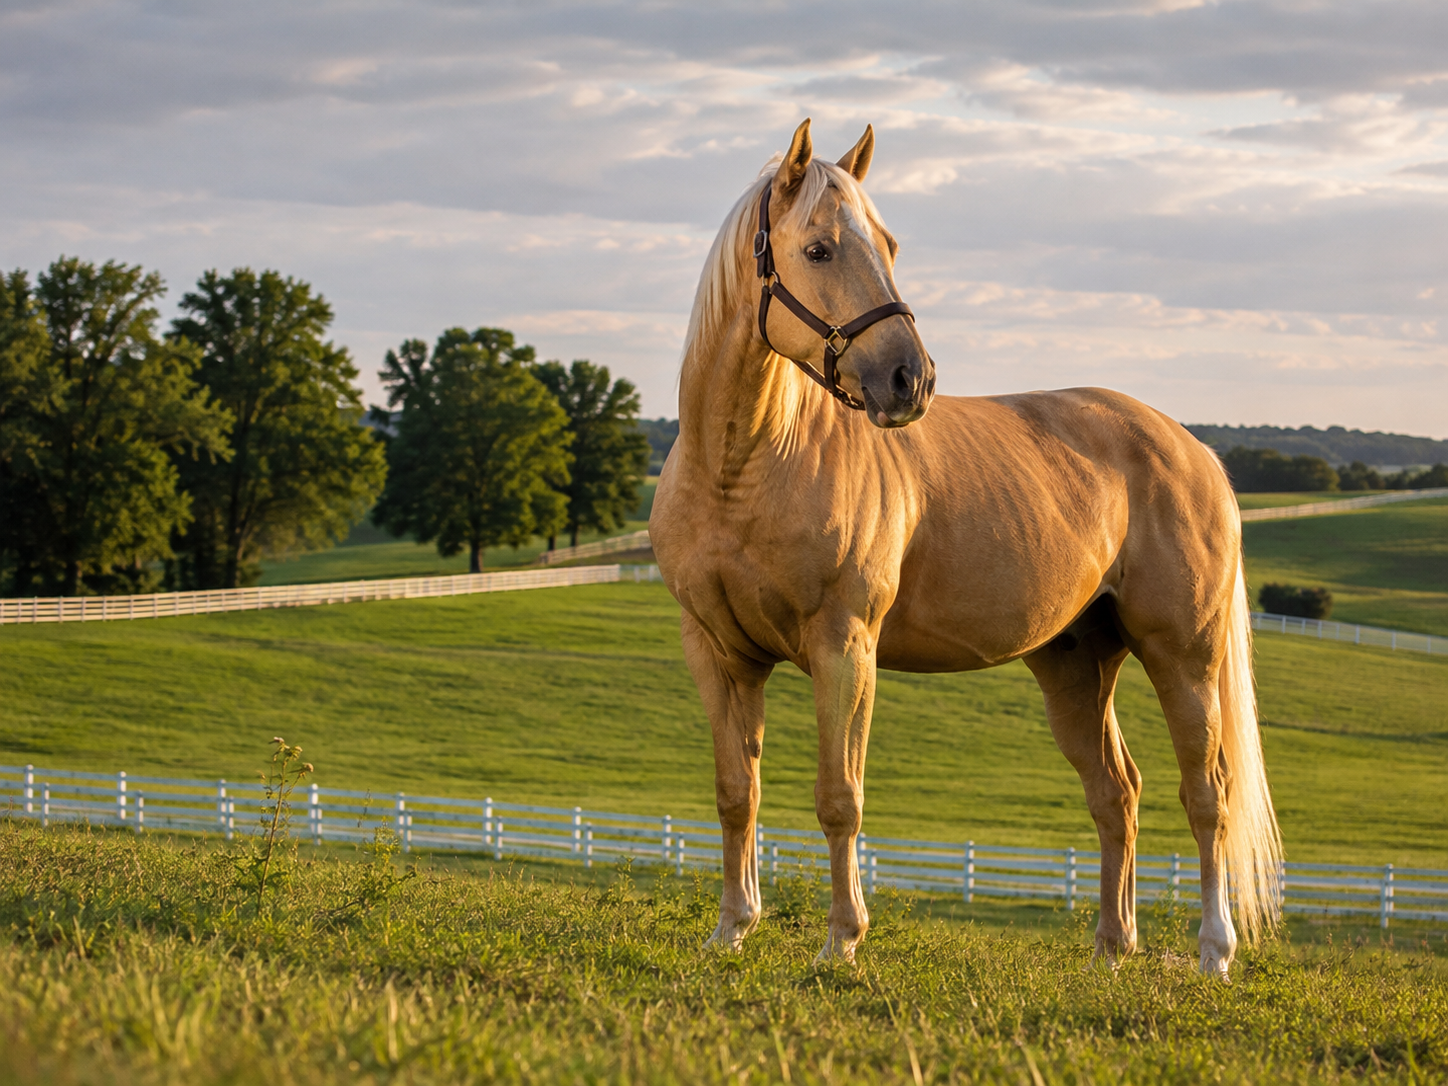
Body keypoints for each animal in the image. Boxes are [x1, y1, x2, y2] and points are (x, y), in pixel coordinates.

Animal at [650, 119, 1282, 977]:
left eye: (887, 244)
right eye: (819, 248)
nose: (908, 379)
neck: (743, 468)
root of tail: (1193, 449)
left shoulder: (844, 647)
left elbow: (839, 798)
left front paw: (841, 942)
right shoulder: (719, 653)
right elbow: (734, 792)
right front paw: (732, 928)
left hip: (1185, 654)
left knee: (1206, 792)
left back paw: (1214, 950)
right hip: (1076, 666)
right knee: (1117, 793)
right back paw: (1111, 949)